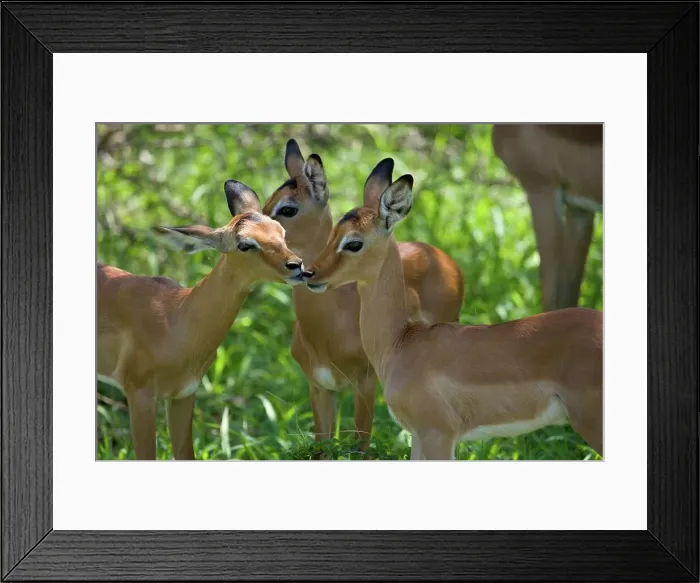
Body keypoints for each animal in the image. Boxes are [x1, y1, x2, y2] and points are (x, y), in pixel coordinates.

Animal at [97, 180, 305, 460]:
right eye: (245, 244)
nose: (297, 265)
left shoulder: (184, 393)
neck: (177, 317)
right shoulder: (139, 395)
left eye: (280, 231)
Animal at [262, 140, 464, 450]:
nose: (310, 274)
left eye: (288, 208)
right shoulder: (320, 387)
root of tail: (442, 257)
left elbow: (361, 445)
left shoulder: (365, 384)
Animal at [301, 168, 603, 460]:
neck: (401, 342)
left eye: (354, 243)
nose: (309, 273)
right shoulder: (419, 437)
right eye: (333, 232)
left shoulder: (438, 434)